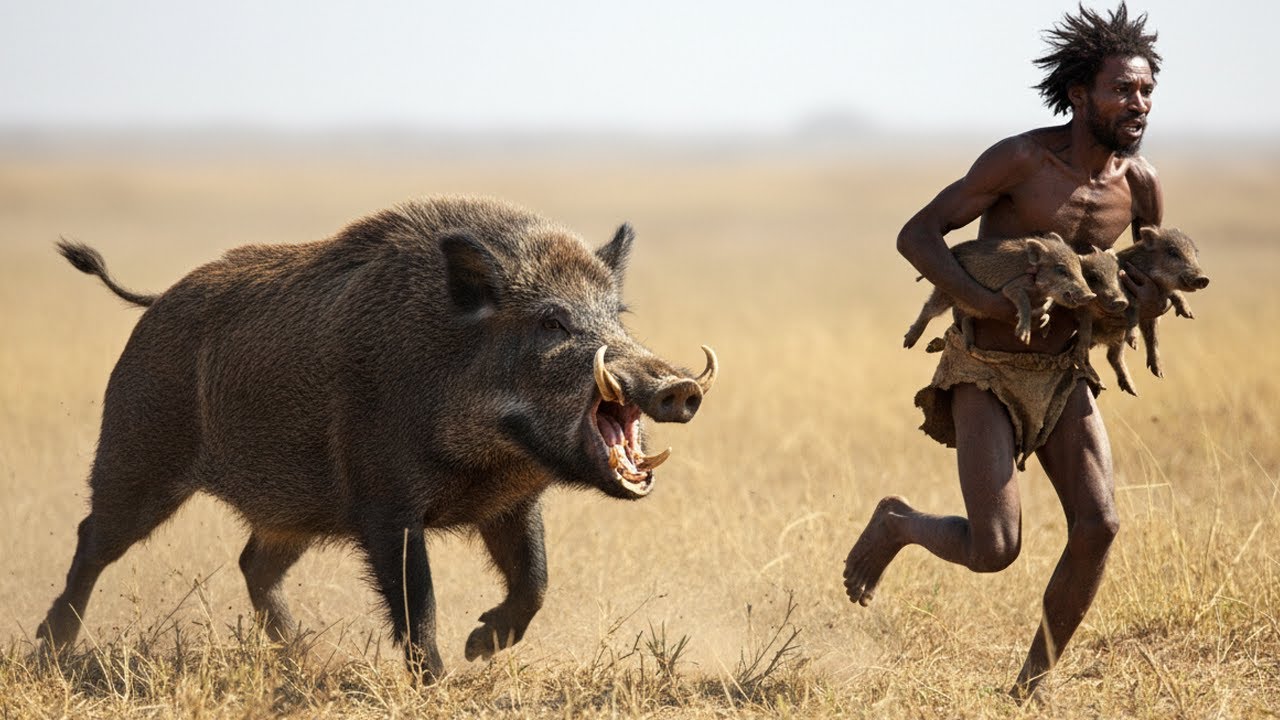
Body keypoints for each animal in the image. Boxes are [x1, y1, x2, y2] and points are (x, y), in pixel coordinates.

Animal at [37, 196, 717, 681]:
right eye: (551, 321)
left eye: (616, 316)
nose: (679, 386)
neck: (486, 456)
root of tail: (153, 302)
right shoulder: (385, 502)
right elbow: (419, 600)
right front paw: (440, 680)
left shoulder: (510, 503)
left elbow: (536, 579)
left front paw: (478, 648)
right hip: (137, 454)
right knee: (92, 540)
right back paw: (50, 652)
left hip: (293, 511)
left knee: (253, 563)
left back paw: (303, 659)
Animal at [903, 232, 1096, 350]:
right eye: (1061, 269)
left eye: (1079, 267)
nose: (1091, 295)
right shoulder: (1012, 287)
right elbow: (1024, 303)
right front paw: (1023, 337)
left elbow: (1045, 311)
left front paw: (1045, 330)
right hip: (945, 292)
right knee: (929, 308)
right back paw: (908, 343)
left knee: (963, 317)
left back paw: (969, 344)